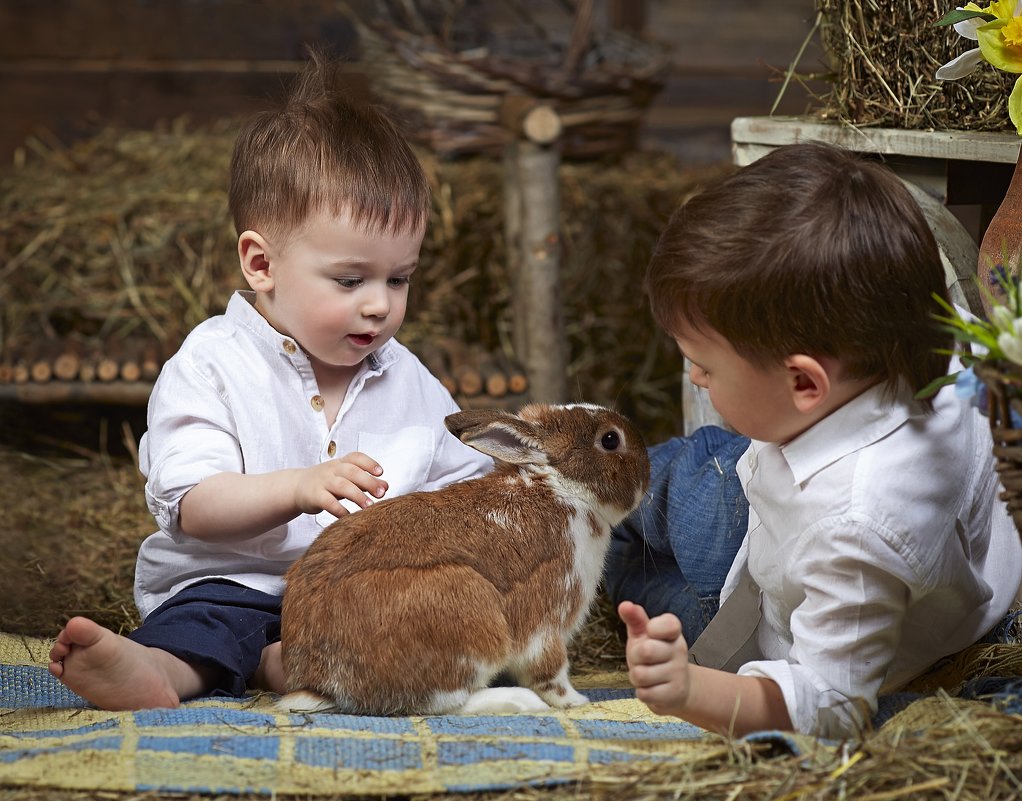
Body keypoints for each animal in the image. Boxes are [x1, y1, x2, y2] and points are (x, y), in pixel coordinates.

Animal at [277, 404, 645, 715]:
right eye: (610, 440)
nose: (646, 468)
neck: (561, 488)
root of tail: (322, 681)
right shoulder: (547, 616)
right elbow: (550, 670)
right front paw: (575, 701)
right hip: (468, 616)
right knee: (442, 701)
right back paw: (518, 701)